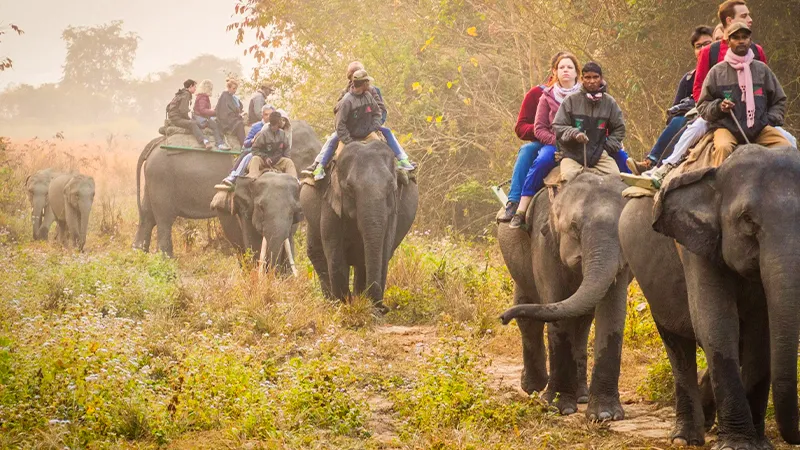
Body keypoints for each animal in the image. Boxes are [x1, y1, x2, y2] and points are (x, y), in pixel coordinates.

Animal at [134, 121, 320, 256]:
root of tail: (156, 142)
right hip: (161, 179)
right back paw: (167, 260)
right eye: (309, 154)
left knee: (147, 216)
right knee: (164, 219)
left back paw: (139, 254)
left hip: (154, 180)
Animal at [300, 140, 418, 310]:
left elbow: (384, 247)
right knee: (316, 253)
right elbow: (334, 252)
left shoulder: (393, 209)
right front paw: (343, 306)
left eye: (391, 186)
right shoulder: (330, 201)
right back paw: (332, 302)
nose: (384, 308)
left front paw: (367, 307)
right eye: (349, 187)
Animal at [498, 173, 631, 421]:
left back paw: (581, 396)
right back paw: (533, 386)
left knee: (582, 322)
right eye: (574, 227)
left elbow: (612, 313)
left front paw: (605, 415)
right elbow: (557, 308)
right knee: (527, 314)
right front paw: (560, 408)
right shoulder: (544, 241)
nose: (502, 318)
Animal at [621, 145, 800, 449]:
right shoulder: (694, 245)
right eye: (747, 220)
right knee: (678, 346)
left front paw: (759, 444)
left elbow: (760, 334)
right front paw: (738, 444)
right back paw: (685, 437)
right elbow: (716, 323)